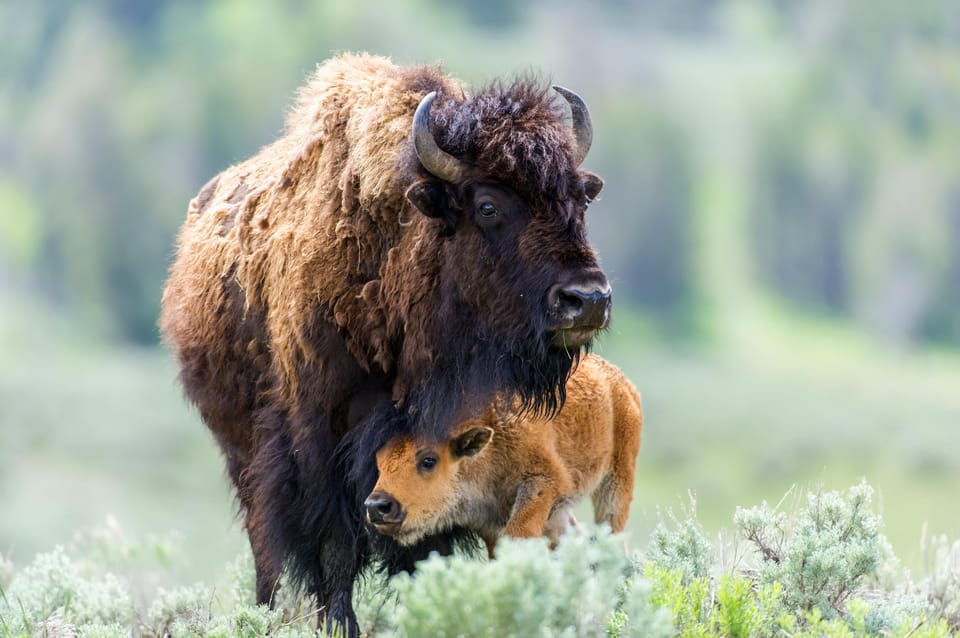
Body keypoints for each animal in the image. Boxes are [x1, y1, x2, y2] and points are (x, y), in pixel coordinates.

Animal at [160, 53, 610, 637]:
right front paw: (340, 623)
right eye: (488, 205)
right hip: (243, 452)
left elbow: (428, 525)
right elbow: (336, 545)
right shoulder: (322, 436)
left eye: (579, 198)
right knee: (265, 542)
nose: (588, 299)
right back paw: (262, 612)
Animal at [364, 354, 642, 557]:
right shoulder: (487, 522)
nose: (377, 506)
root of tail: (624, 385)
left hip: (616, 484)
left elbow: (518, 536)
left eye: (428, 460)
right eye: (380, 462)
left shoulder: (544, 481)